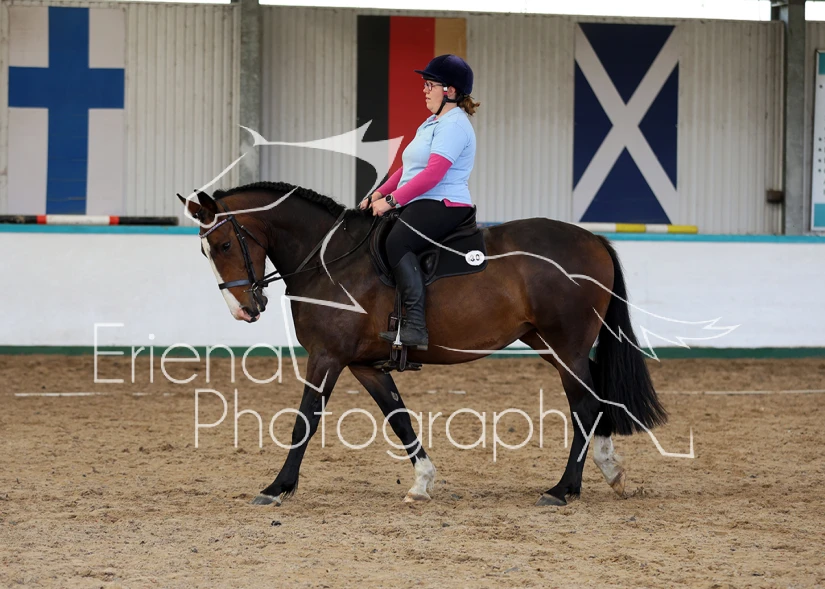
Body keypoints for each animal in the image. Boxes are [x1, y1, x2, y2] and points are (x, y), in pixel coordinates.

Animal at [177, 181, 667, 507]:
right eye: (204, 251)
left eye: (224, 244)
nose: (244, 309)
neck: (328, 261)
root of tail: (593, 238)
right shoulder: (364, 365)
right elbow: (398, 418)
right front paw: (423, 481)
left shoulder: (326, 357)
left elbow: (305, 421)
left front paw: (277, 488)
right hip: (551, 346)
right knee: (593, 402)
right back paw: (608, 469)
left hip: (566, 348)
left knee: (585, 406)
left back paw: (564, 489)